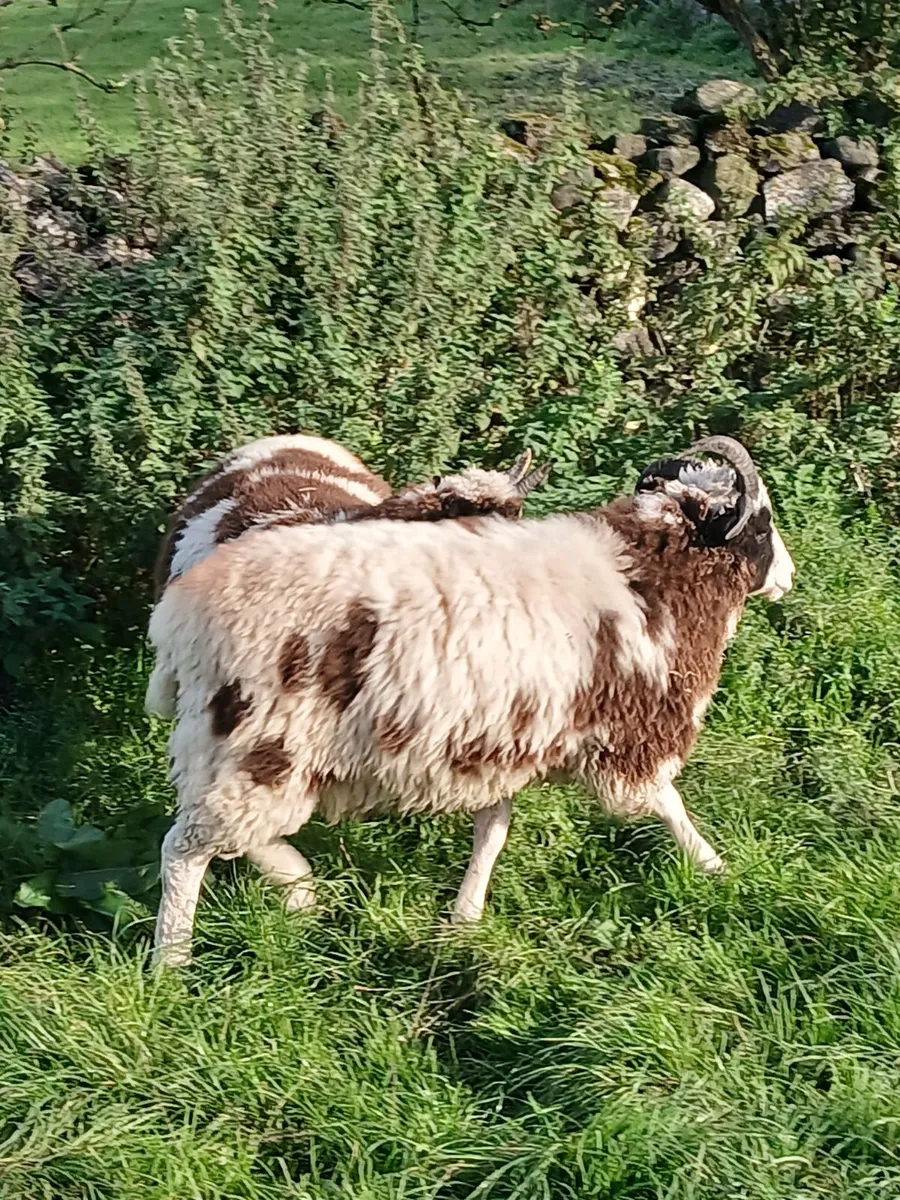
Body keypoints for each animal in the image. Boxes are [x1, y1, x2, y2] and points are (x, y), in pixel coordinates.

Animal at [148, 436, 794, 965]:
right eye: (761, 525)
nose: (788, 577)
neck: (649, 572)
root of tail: (180, 617)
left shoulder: (503, 736)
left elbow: (495, 827)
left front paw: (465, 917)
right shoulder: (632, 732)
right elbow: (666, 804)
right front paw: (718, 869)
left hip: (243, 750)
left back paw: (299, 890)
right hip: (258, 746)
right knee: (185, 849)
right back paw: (172, 963)